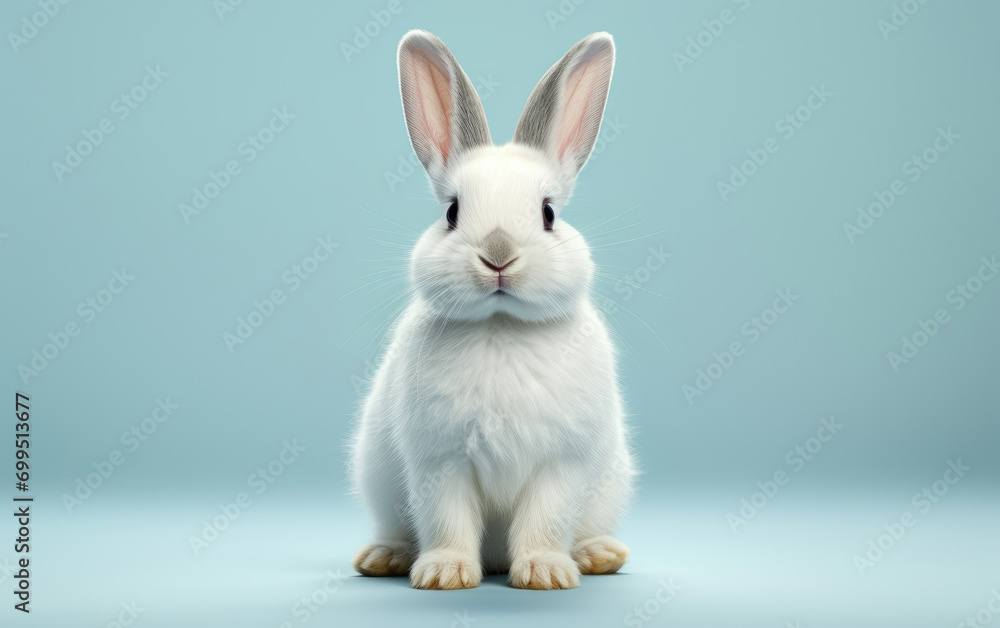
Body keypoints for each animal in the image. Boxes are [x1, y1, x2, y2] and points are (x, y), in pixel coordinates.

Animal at [350, 28, 632, 588]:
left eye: (548, 213)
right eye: (452, 212)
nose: (498, 254)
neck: (502, 327)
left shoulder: (561, 464)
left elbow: (547, 519)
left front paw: (545, 573)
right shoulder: (440, 461)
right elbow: (446, 518)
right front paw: (445, 573)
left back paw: (598, 556)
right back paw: (384, 558)